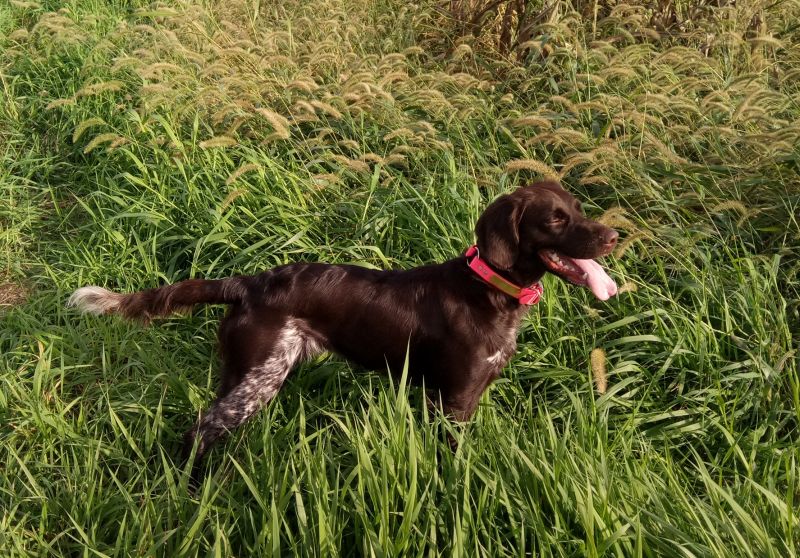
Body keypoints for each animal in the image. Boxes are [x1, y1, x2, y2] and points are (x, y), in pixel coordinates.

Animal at [69, 180, 618, 464]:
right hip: (260, 376)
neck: (489, 288)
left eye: (579, 209)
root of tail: (248, 282)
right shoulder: (453, 402)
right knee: (198, 431)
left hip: (244, 374)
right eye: (555, 219)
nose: (615, 235)